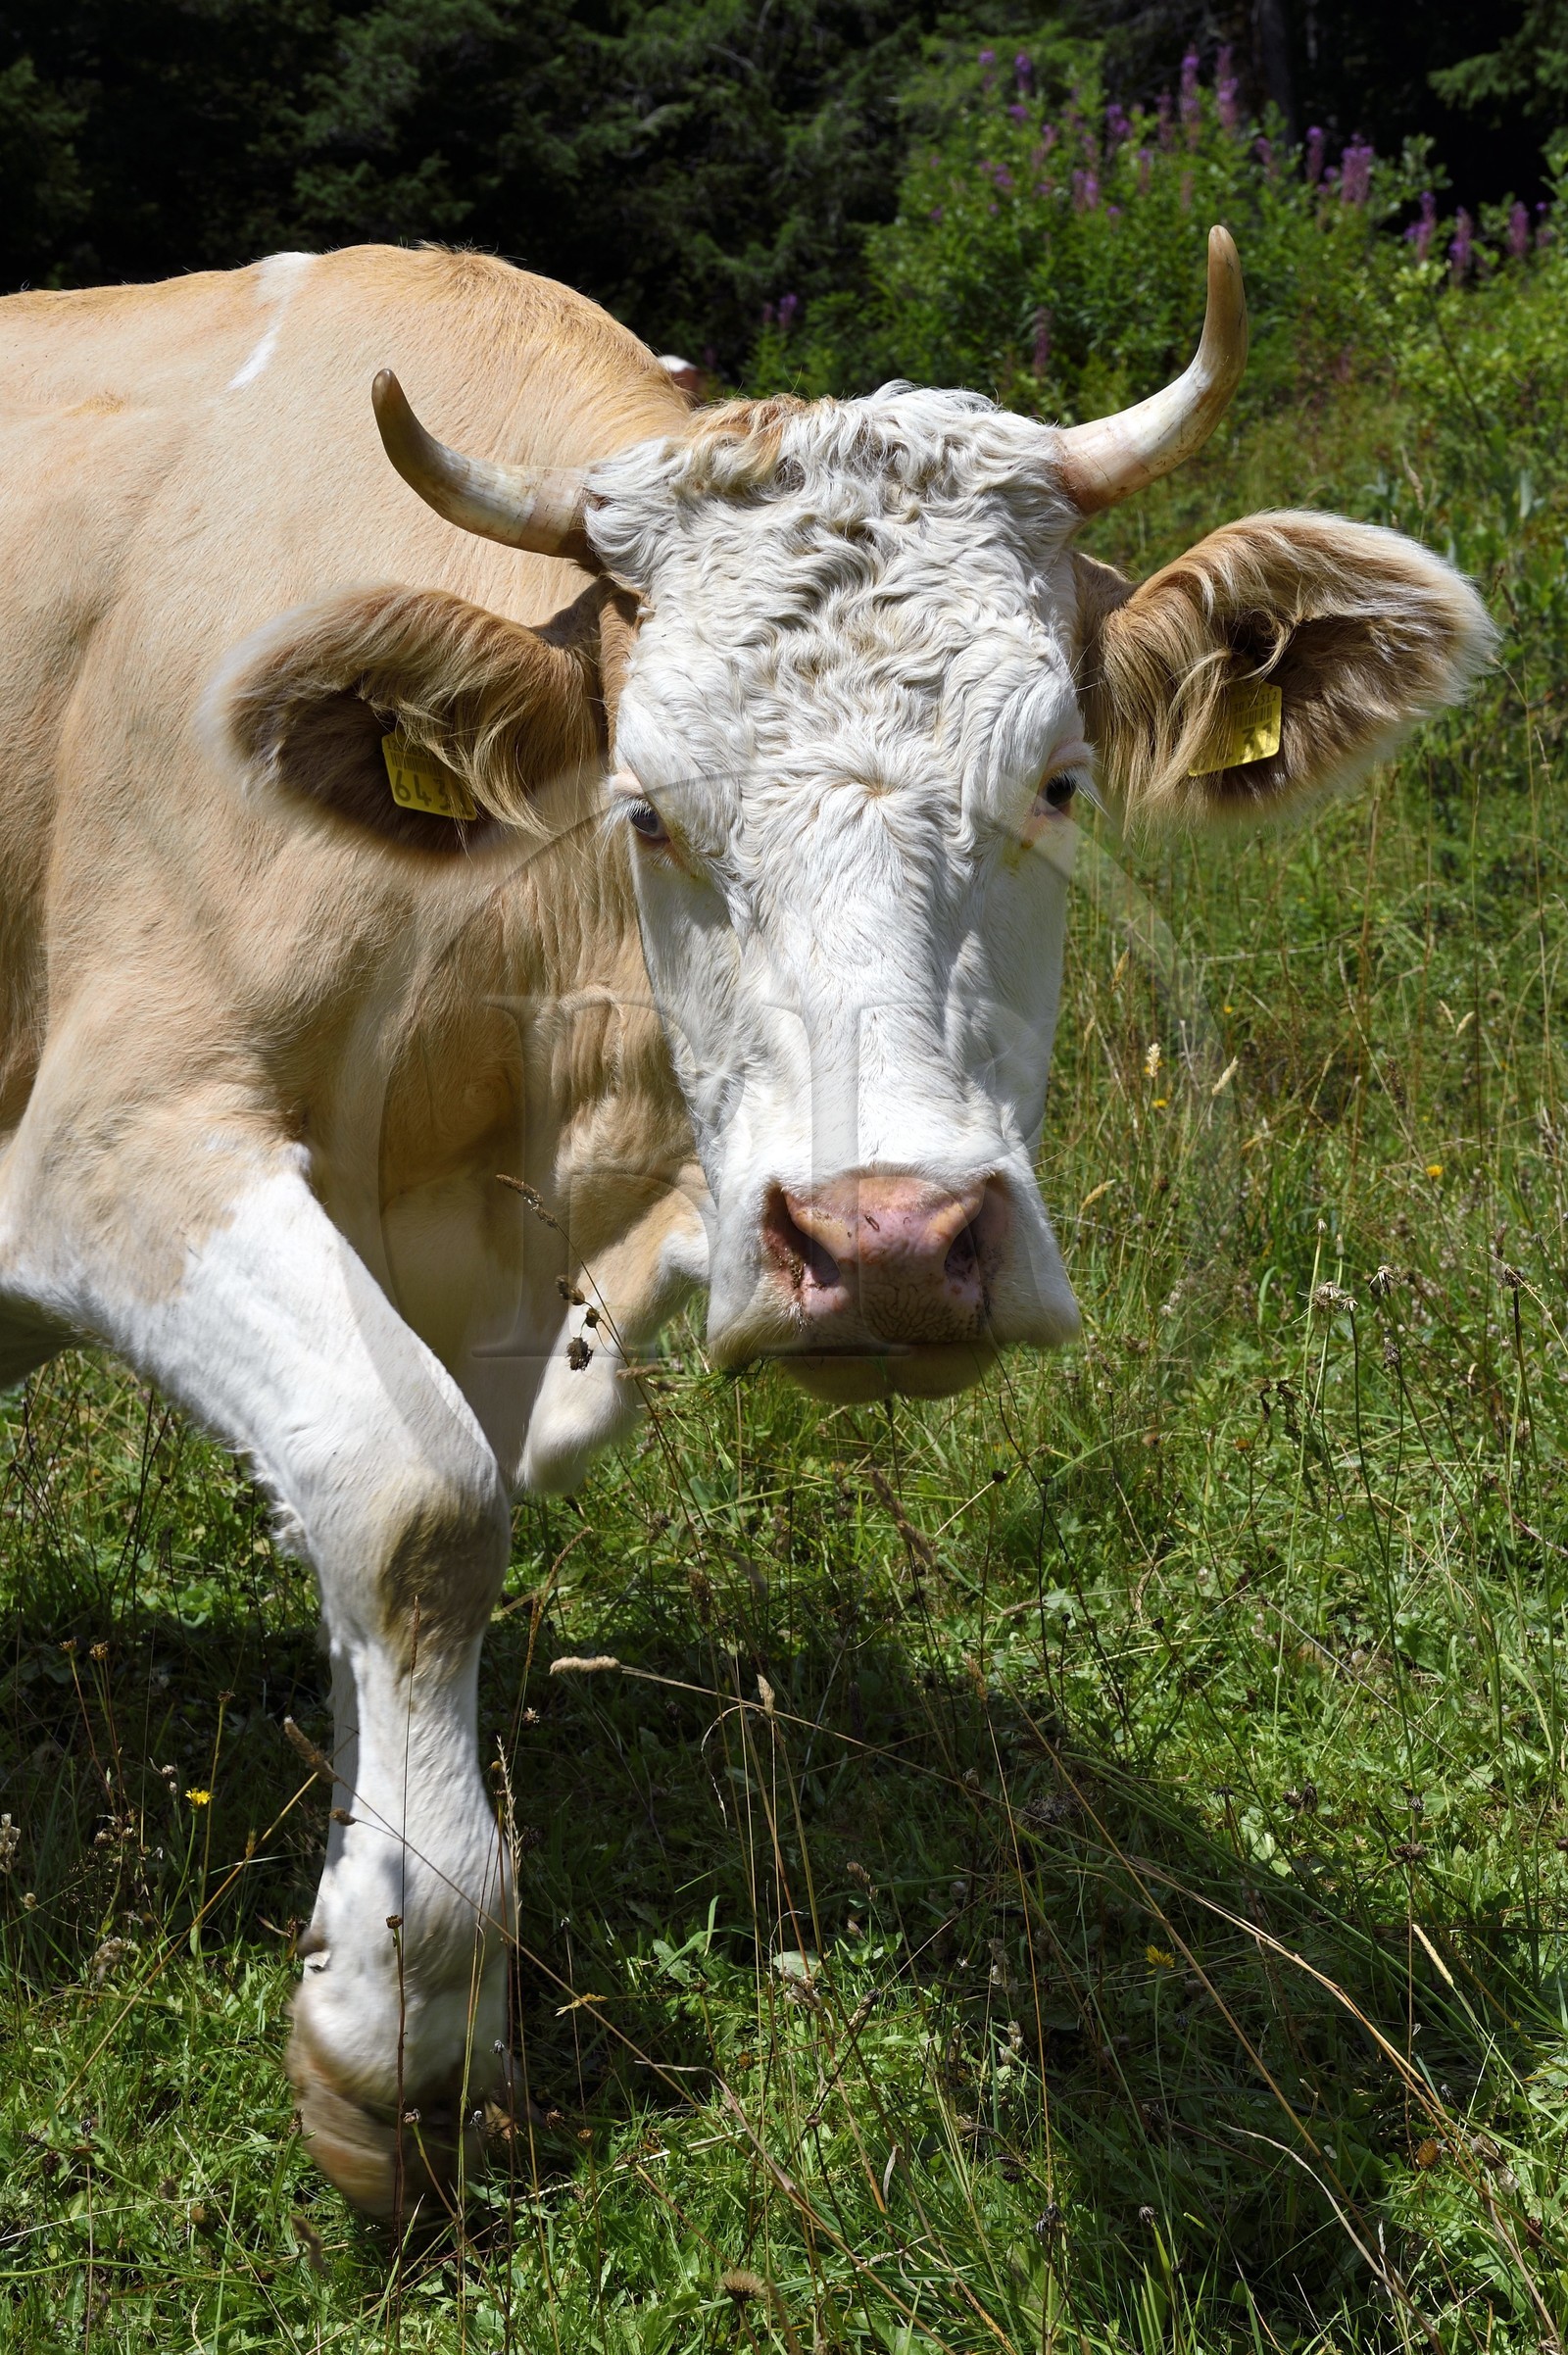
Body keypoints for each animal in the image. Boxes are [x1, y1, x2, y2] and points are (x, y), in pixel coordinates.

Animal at [0, 235, 1490, 2213]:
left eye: (1059, 782)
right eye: (647, 808)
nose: (887, 1240)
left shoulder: (472, 1271)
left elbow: (385, 1554)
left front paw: (383, 1939)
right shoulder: (116, 1135)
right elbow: (417, 1508)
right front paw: (400, 2041)